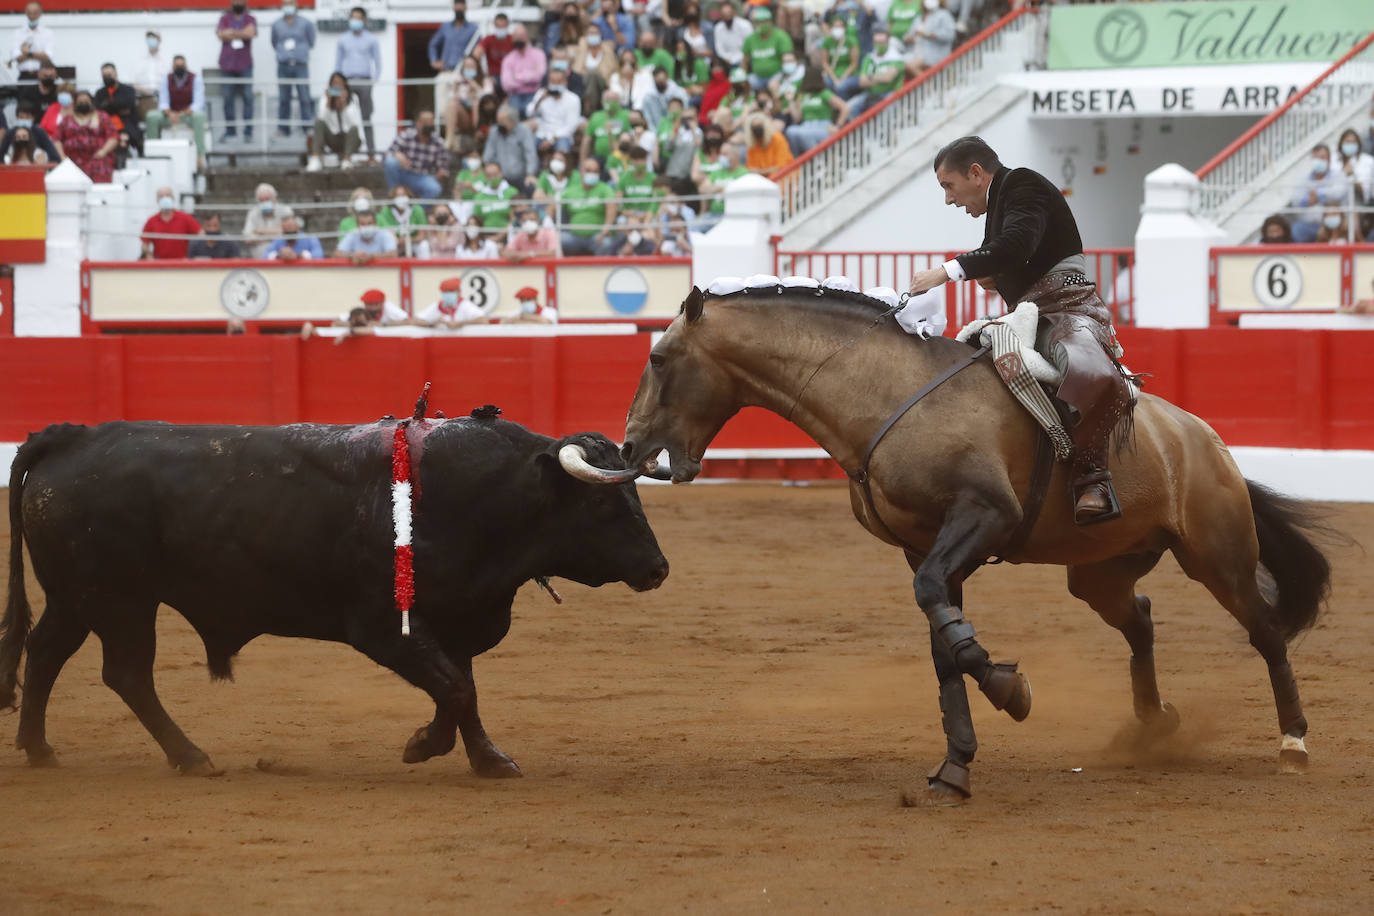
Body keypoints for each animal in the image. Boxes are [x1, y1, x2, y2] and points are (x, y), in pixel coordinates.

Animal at [0, 420, 665, 780]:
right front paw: (426, 747)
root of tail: (74, 437)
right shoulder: (384, 625)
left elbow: (463, 690)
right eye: (602, 502)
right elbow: (455, 688)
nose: (658, 569)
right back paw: (190, 756)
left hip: (76, 596)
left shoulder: (451, 619)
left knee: (46, 651)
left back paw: (39, 749)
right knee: (127, 673)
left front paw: (483, 757)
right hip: (120, 600)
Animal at [607, 282, 1324, 807]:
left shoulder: (983, 518)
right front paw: (956, 765)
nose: (631, 447)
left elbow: (942, 619)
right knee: (1142, 619)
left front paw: (1011, 689)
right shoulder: (925, 547)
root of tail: (1202, 439)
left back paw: (1292, 744)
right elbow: (943, 641)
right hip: (1098, 574)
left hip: (1218, 556)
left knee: (1265, 633)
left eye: (658, 359)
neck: (883, 394)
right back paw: (1152, 725)